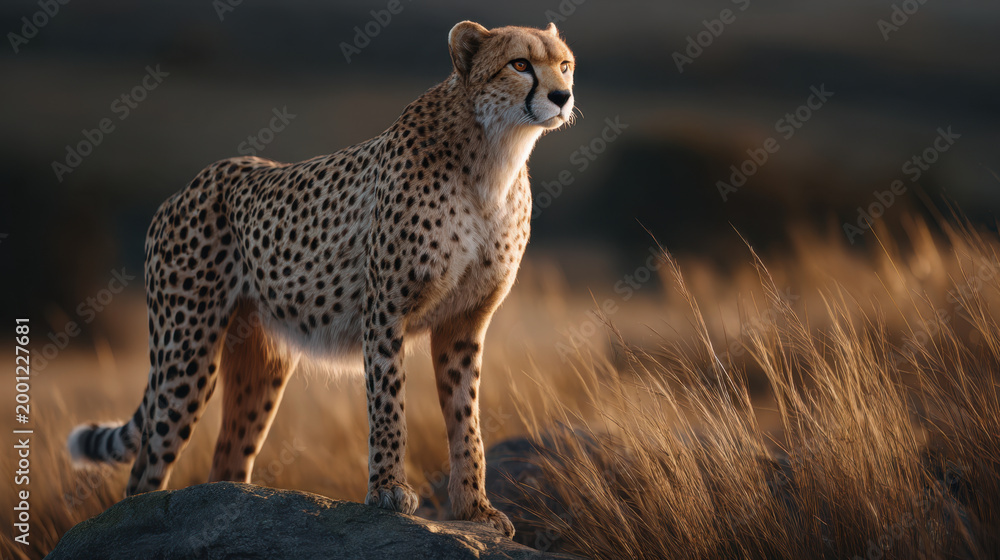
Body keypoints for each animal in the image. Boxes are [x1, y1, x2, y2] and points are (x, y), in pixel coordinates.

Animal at [66, 20, 575, 537]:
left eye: (565, 64)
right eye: (520, 64)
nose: (562, 95)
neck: (493, 157)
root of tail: (189, 184)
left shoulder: (464, 322)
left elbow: (465, 419)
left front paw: (475, 509)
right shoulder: (386, 311)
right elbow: (389, 405)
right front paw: (388, 490)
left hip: (260, 363)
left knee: (227, 462)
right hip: (186, 352)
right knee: (145, 471)